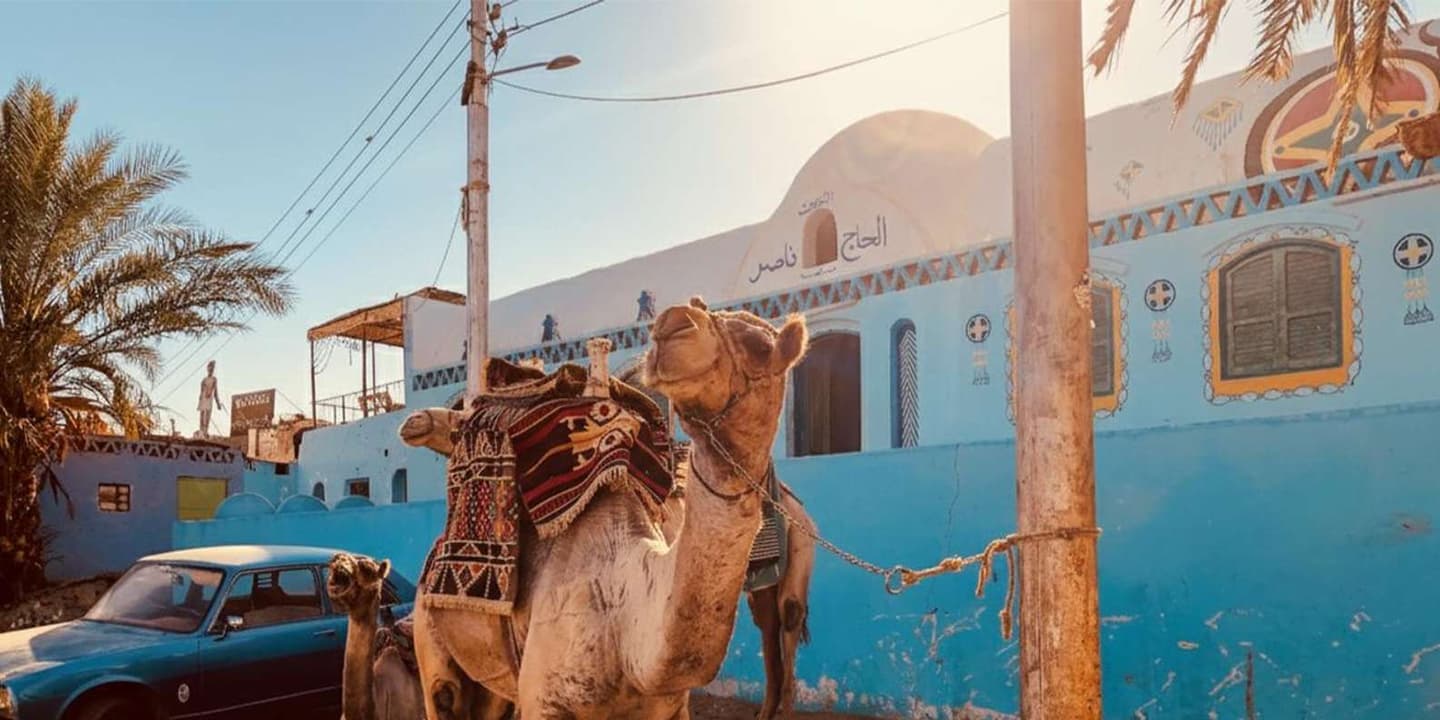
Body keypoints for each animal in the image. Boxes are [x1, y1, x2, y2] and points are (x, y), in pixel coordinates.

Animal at [399, 297, 808, 719]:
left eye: (761, 347)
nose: (675, 323)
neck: (627, 624)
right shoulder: (543, 698)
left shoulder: (669, 706)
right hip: (432, 645)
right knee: (442, 691)